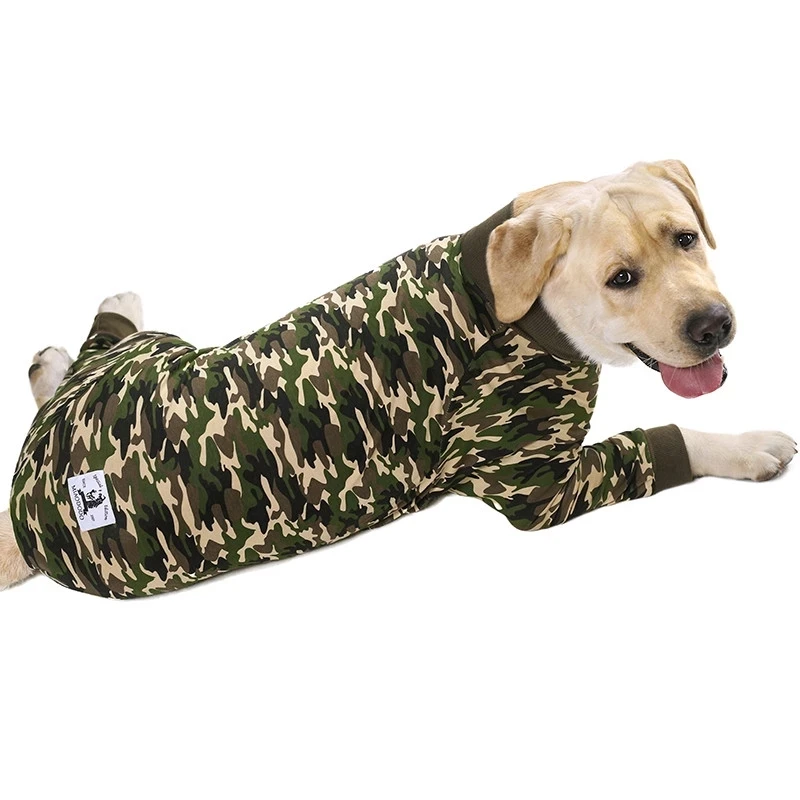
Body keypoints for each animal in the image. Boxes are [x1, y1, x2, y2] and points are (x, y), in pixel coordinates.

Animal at [0, 160, 795, 597]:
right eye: (620, 278)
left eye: (686, 239)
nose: (714, 325)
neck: (514, 298)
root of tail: (23, 508)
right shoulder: (539, 487)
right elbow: (668, 437)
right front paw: (746, 445)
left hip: (145, 362)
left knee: (87, 357)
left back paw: (74, 339)